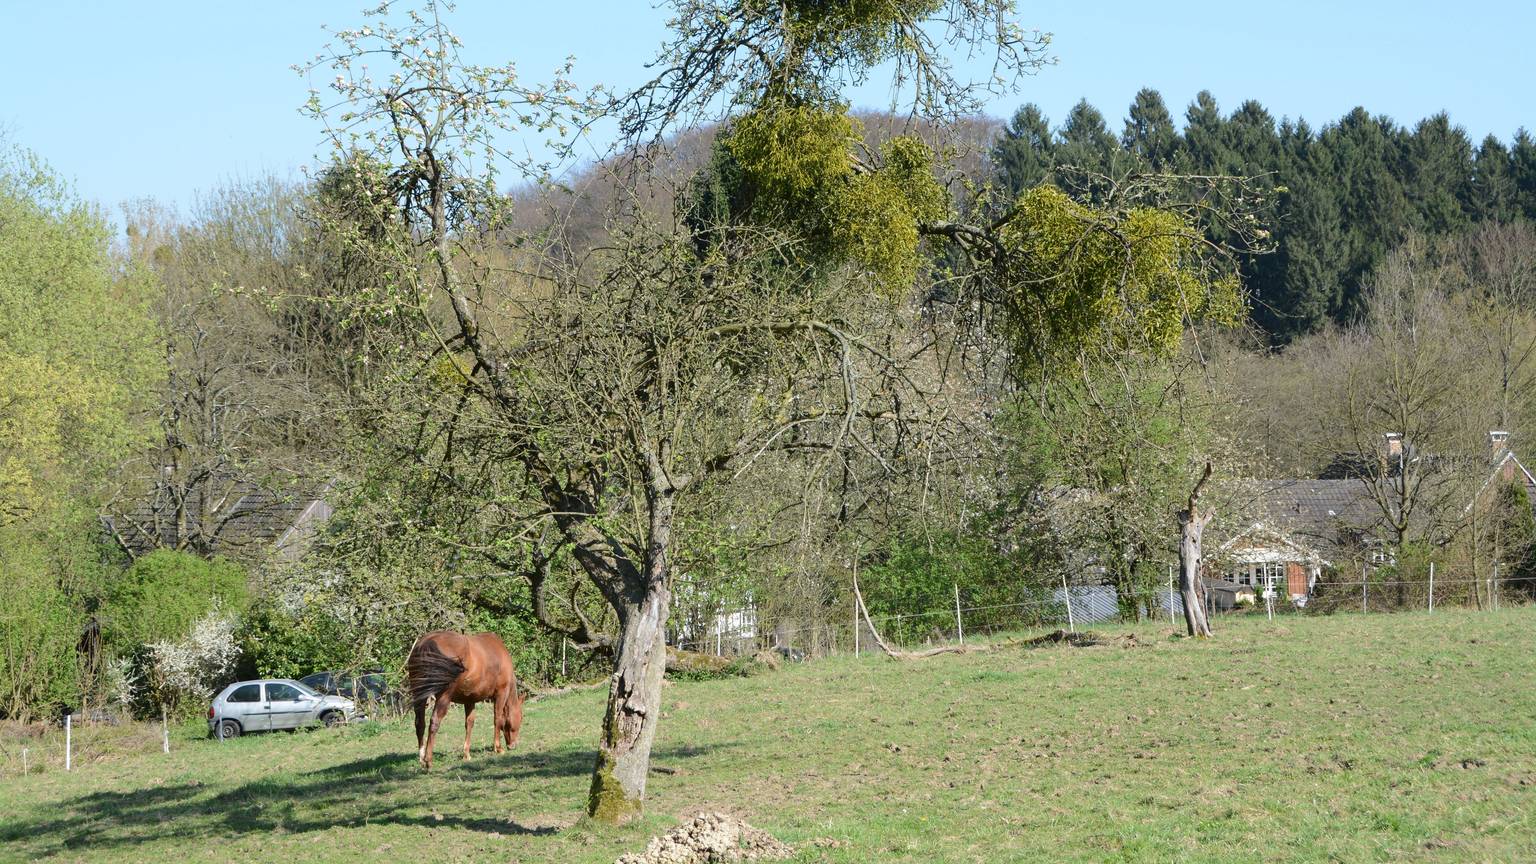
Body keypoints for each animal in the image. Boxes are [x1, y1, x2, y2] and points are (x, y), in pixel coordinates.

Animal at [406, 630, 523, 770]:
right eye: (520, 719)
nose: (513, 745)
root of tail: (426, 643)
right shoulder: (501, 693)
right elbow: (497, 719)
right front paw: (498, 748)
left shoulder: (469, 700)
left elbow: (469, 723)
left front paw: (466, 754)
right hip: (444, 697)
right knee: (434, 722)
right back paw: (428, 760)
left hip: (419, 694)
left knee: (420, 723)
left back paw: (422, 758)